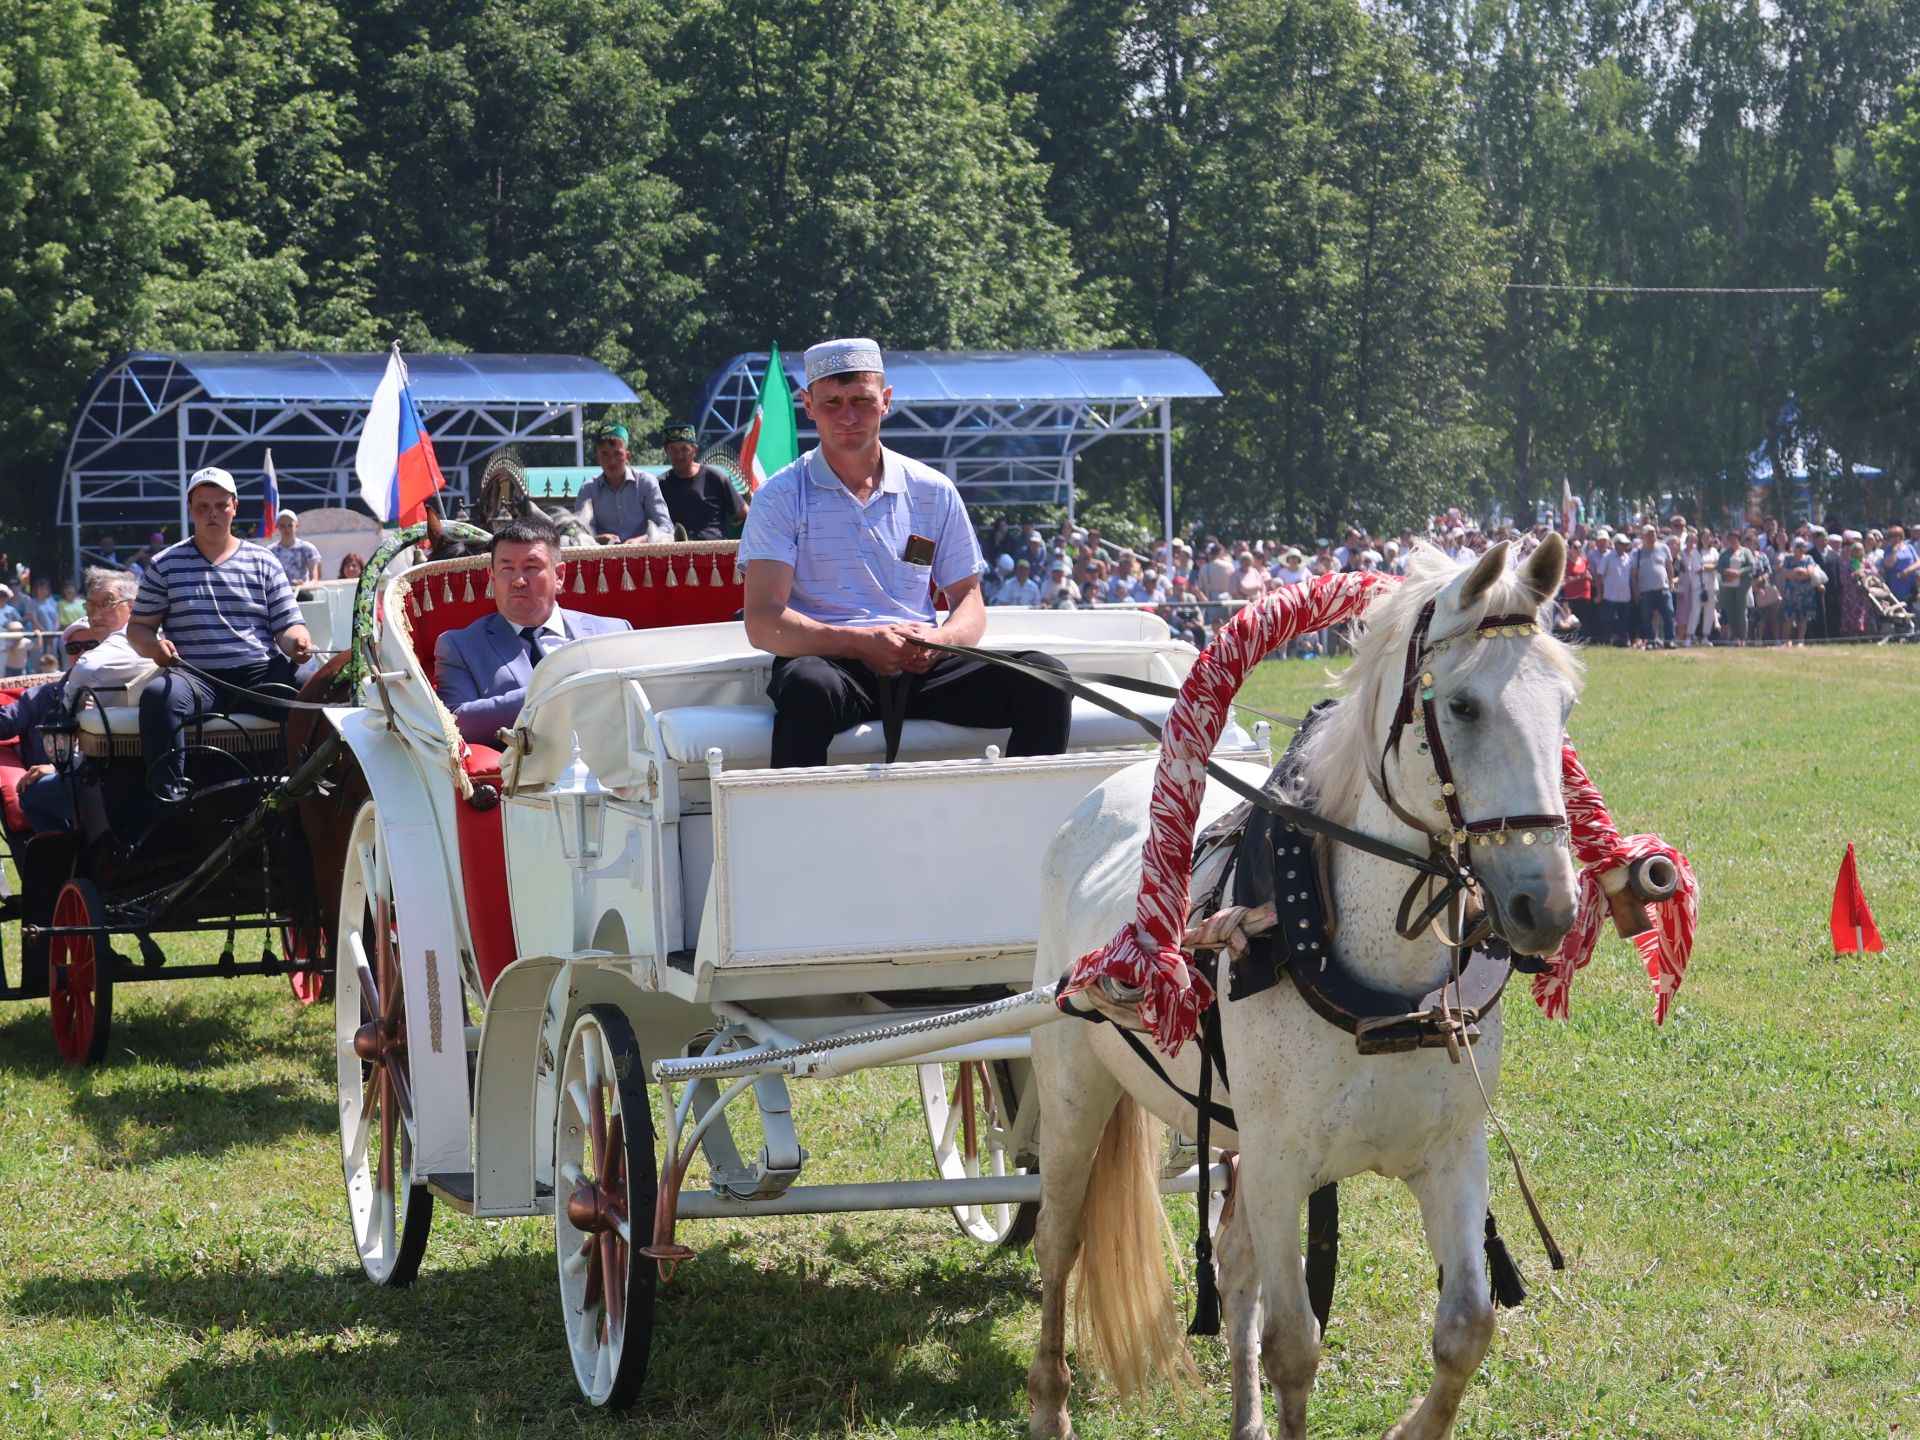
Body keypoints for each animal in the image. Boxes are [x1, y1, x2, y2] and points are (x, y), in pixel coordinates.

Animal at [1029, 537, 1582, 1440]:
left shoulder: (1451, 1152)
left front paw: (1409, 1429)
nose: (1551, 905)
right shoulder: (1283, 1165)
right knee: (1058, 1240)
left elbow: (1466, 1327)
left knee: (1233, 1264)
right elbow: (1293, 1346)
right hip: (1074, 1086)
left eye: (1563, 707)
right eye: (1463, 707)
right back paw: (1049, 1405)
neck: (1386, 993)